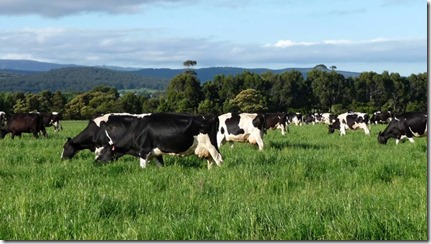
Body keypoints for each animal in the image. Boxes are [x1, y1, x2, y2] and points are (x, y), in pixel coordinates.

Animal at [94, 111, 223, 169]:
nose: (95, 162)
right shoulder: (156, 153)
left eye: (103, 152)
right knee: (210, 160)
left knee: (219, 159)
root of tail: (211, 116)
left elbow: (142, 167)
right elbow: (161, 165)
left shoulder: (144, 151)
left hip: (212, 146)